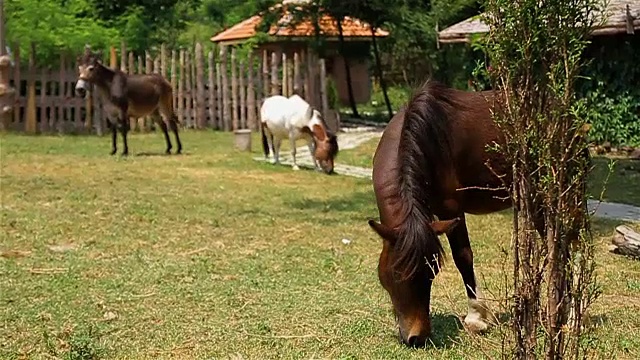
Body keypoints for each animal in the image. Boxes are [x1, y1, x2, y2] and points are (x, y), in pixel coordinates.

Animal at [368, 80, 512, 348]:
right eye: (395, 274)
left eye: (432, 272)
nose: (417, 337)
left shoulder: (451, 210)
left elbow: (463, 257)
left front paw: (476, 317)